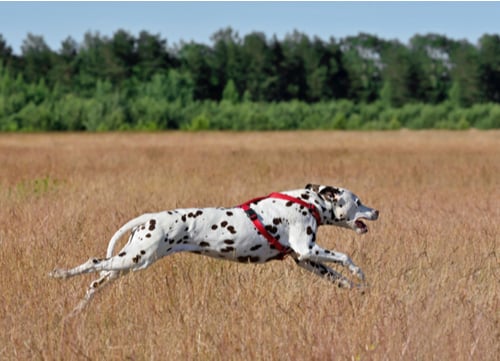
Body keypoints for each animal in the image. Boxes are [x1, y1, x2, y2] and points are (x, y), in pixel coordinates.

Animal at [49, 183, 378, 310]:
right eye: (358, 200)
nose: (376, 211)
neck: (308, 203)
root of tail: (149, 219)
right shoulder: (308, 250)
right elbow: (346, 257)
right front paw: (360, 274)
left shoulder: (306, 260)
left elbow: (339, 278)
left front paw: (359, 288)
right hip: (135, 259)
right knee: (92, 263)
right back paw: (60, 274)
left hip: (128, 262)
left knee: (95, 282)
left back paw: (78, 309)